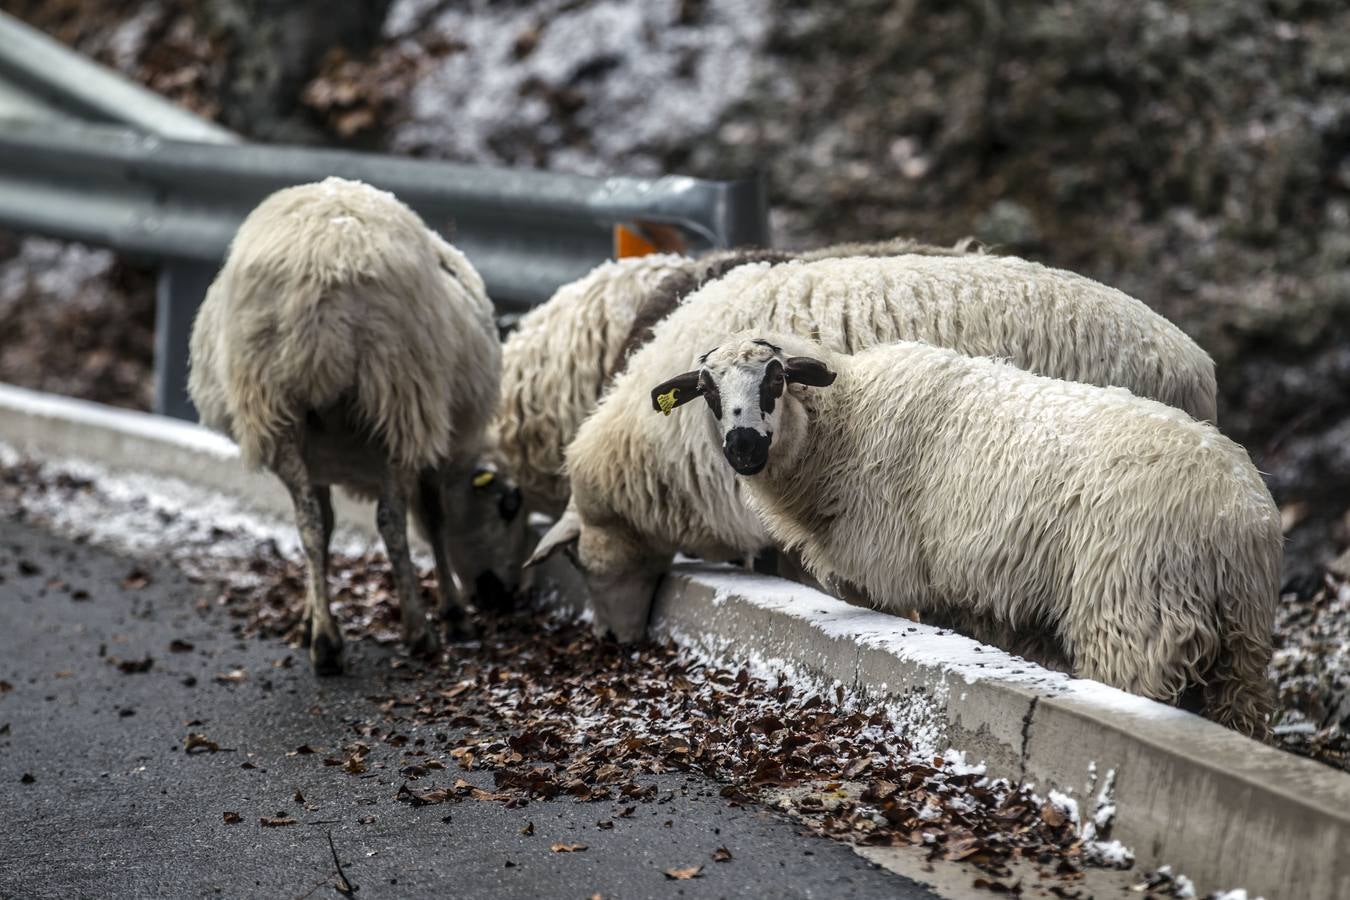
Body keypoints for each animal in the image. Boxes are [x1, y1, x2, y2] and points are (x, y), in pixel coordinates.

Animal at [190, 175, 526, 671]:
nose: (504, 597)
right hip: (399, 396)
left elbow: (325, 525)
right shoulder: (434, 447)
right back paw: (418, 631)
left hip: (276, 405)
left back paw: (326, 642)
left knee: (309, 524)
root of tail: (320, 266)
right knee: (391, 520)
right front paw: (453, 613)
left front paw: (311, 615)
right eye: (509, 505)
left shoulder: (320, 459)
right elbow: (434, 518)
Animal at [648, 334, 1279, 734]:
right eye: (707, 390)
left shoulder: (894, 578)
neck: (847, 422)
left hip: (1134, 624)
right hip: (1241, 652)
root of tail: (1236, 516)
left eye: (776, 379)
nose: (744, 447)